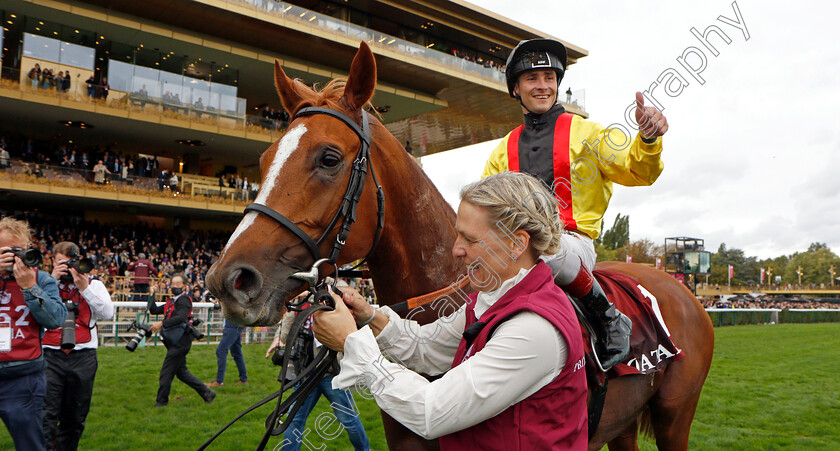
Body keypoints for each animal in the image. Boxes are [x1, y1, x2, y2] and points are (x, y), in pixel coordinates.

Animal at [208, 41, 716, 448]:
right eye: (263, 159)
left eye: (329, 158)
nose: (228, 280)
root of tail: (681, 289)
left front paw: (650, 127)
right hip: (623, 424)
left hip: (675, 418)